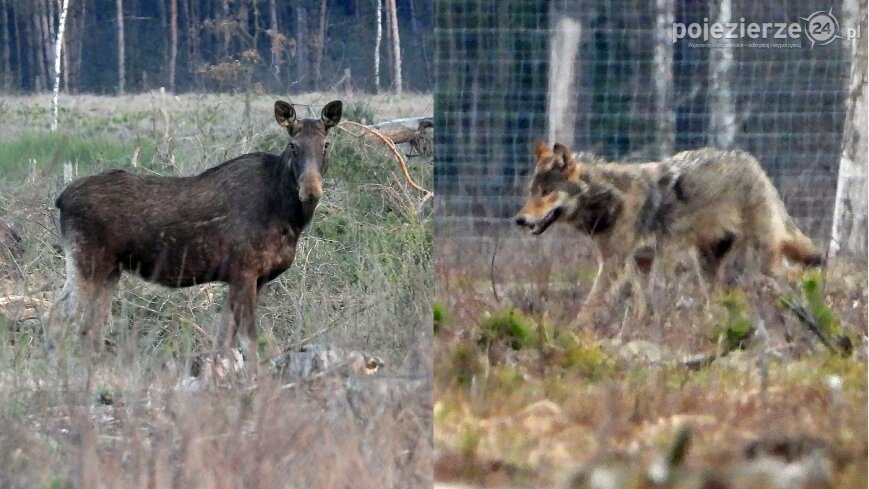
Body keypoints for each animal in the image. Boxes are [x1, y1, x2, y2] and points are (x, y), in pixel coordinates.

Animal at [45, 100, 340, 366]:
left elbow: (224, 342)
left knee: (90, 328)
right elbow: (249, 341)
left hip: (110, 271)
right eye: (293, 146)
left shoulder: (252, 279)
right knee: (56, 318)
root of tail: (61, 198)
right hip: (86, 262)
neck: (290, 218)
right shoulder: (244, 271)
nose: (311, 191)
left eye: (326, 145)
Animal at [516, 141, 820, 322]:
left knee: (797, 274)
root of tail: (753, 164)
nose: (519, 220)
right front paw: (640, 328)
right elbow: (642, 302)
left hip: (761, 260)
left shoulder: (613, 262)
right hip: (706, 265)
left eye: (546, 192)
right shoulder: (641, 260)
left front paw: (574, 331)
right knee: (717, 299)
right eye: (531, 192)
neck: (608, 197)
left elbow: (588, 306)